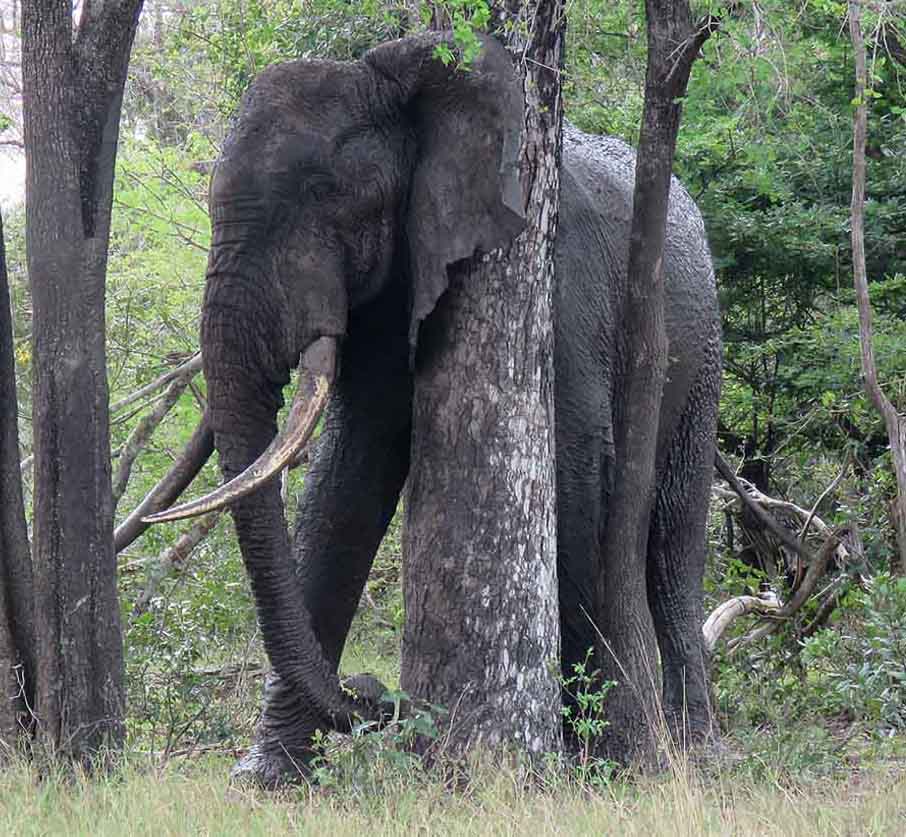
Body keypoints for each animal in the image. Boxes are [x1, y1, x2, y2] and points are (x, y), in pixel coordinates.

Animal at [146, 31, 721, 786]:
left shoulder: (555, 281)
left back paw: (692, 745)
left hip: (700, 351)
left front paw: (589, 759)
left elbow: (573, 462)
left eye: (326, 196)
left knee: (675, 537)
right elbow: (348, 475)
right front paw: (267, 777)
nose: (373, 693)